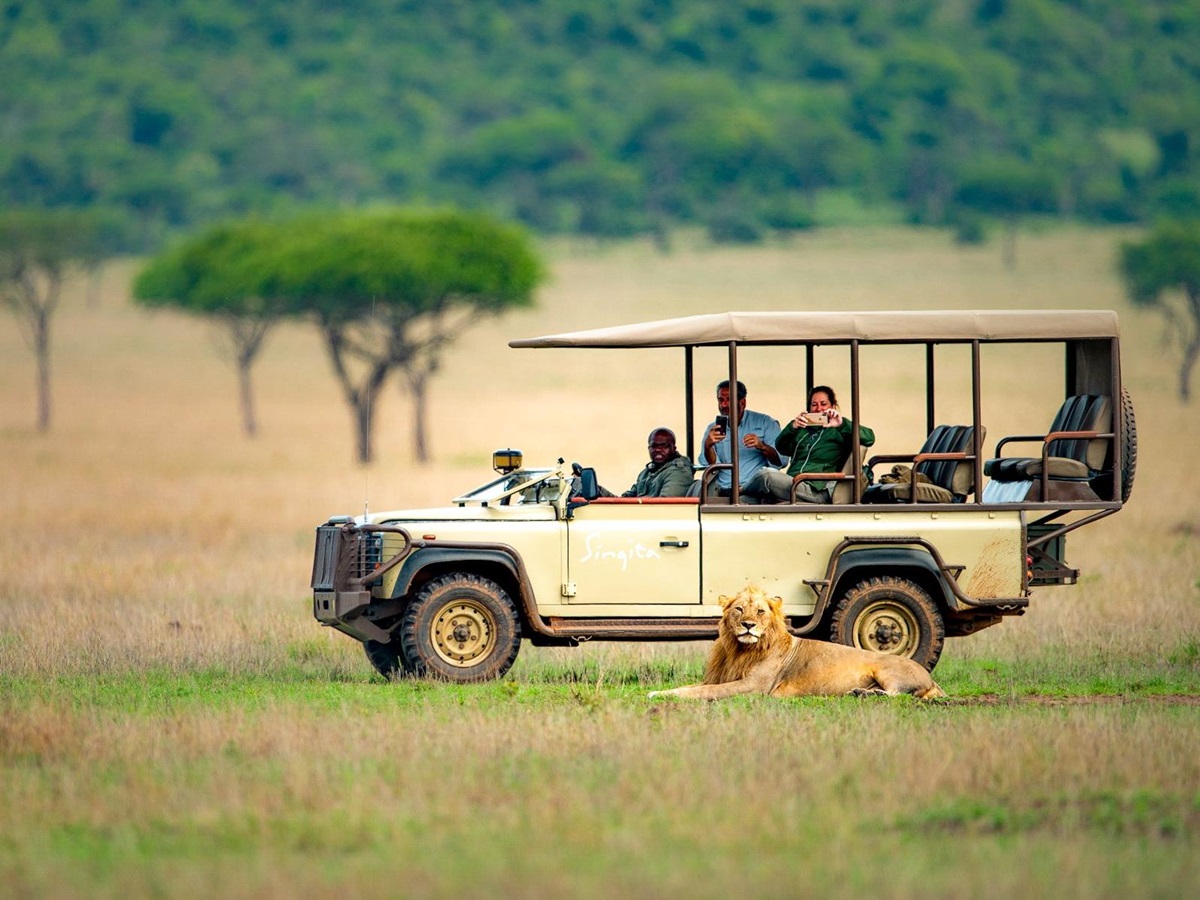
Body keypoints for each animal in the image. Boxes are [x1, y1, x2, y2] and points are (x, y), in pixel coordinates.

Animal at [648, 586, 944, 700]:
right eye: (739, 609)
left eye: (760, 612)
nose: (748, 625)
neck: (740, 650)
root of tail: (931, 679)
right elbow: (691, 687)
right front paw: (658, 693)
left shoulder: (754, 687)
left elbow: (705, 692)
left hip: (887, 670)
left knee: (897, 694)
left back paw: (863, 693)